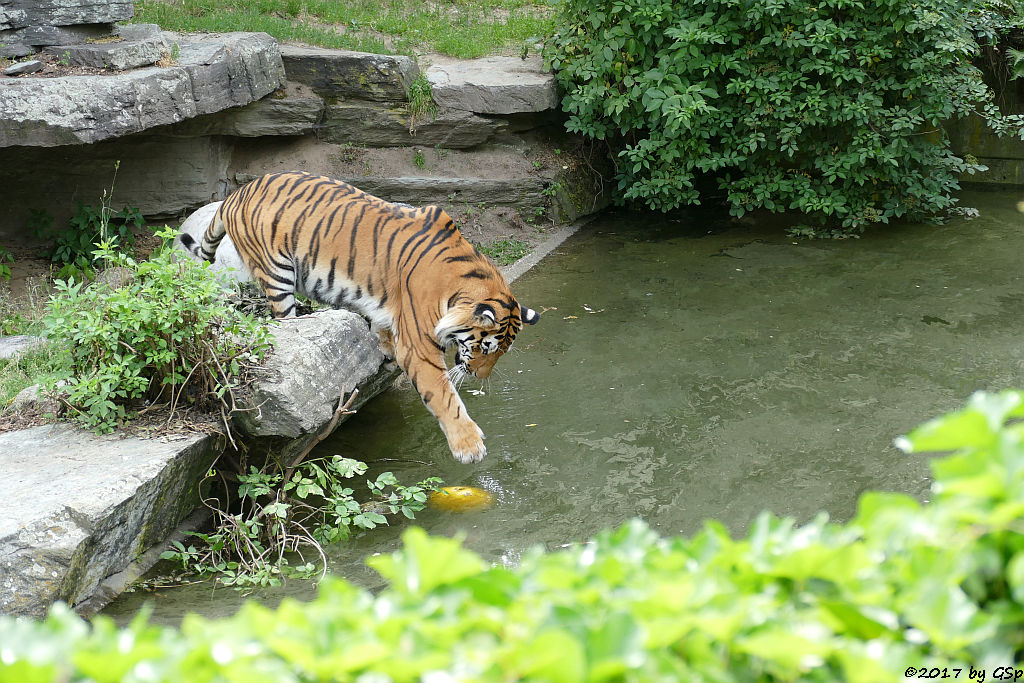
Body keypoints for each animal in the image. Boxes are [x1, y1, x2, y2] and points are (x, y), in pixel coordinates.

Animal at [179, 169, 540, 464]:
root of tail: (236, 194)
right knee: (282, 317)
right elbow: (444, 396)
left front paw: (384, 348)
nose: (480, 377)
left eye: (500, 353)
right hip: (276, 273)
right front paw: (469, 446)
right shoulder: (420, 349)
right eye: (484, 349)